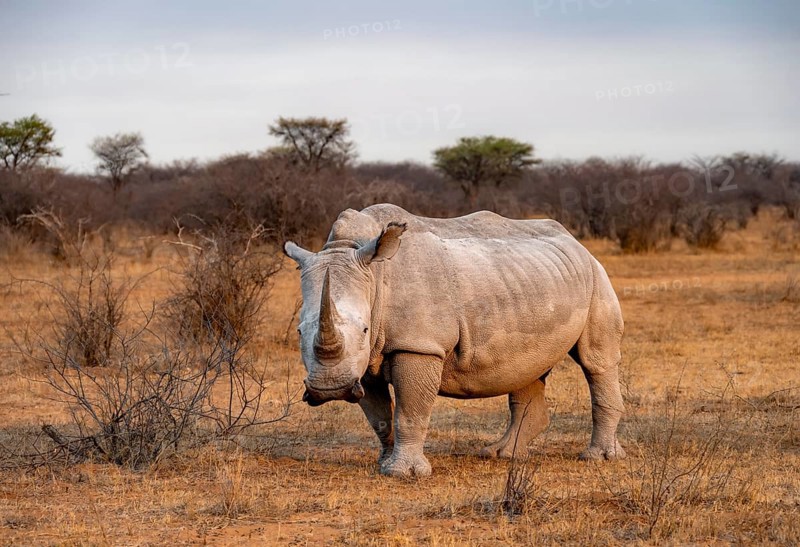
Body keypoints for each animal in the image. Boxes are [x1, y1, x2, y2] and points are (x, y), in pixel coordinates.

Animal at [284, 204, 625, 477]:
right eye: (299, 331)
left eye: (365, 330)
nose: (331, 389)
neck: (372, 272)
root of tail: (577, 243)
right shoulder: (363, 361)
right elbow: (380, 419)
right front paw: (384, 463)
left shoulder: (419, 345)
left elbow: (410, 412)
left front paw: (404, 473)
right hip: (533, 285)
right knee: (528, 366)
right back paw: (501, 454)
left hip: (597, 277)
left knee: (596, 362)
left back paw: (598, 458)